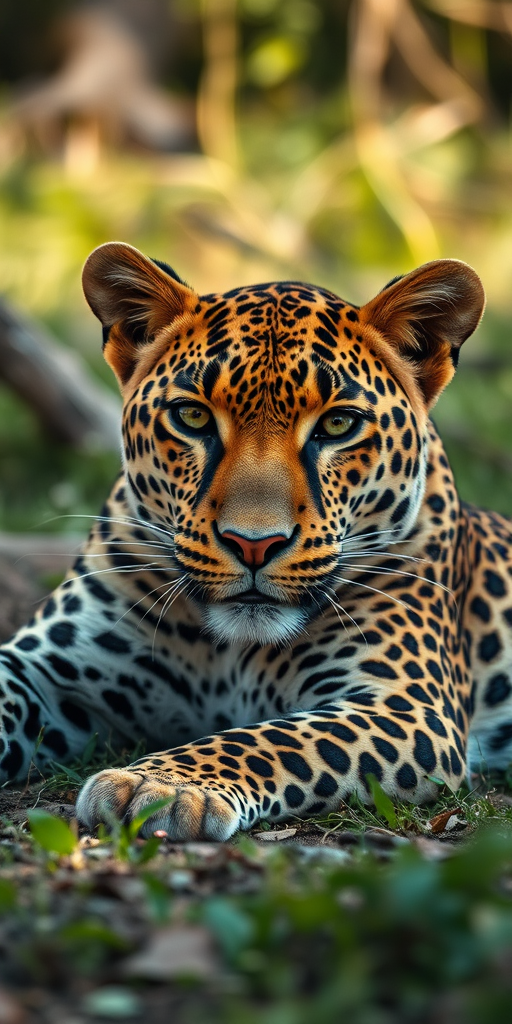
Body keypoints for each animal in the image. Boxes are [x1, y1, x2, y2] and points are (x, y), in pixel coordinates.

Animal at [0, 240, 510, 842]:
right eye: (192, 416)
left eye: (338, 425)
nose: (253, 545)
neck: (228, 649)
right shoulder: (44, 666)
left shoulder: (405, 705)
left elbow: (273, 739)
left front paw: (164, 787)